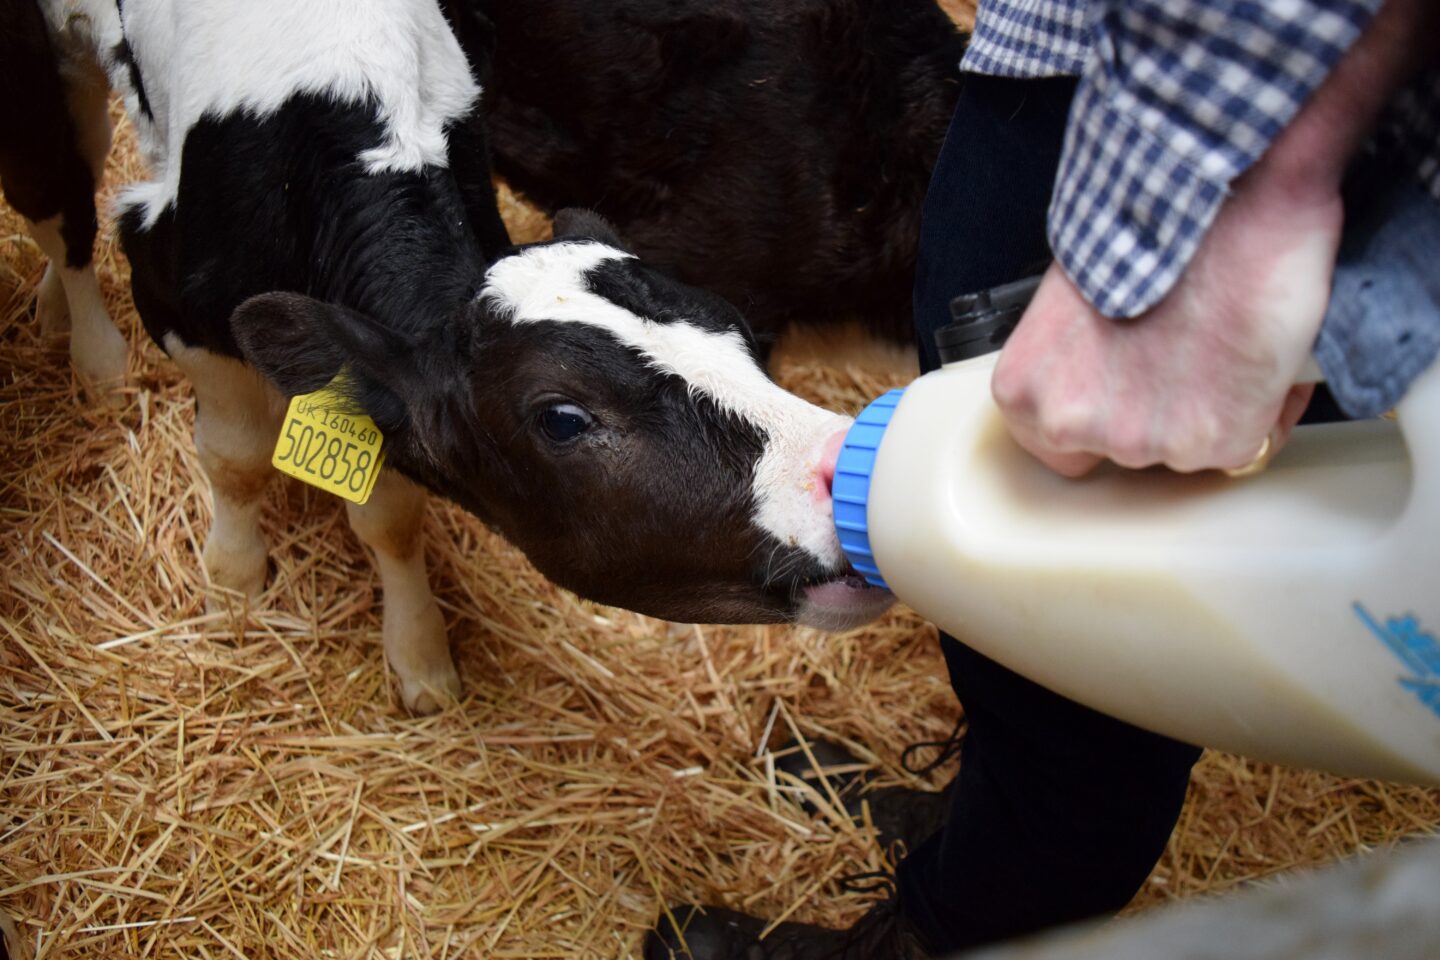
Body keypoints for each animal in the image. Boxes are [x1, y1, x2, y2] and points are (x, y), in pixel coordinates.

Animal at [17, 0, 892, 713]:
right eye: (563, 418)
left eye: (739, 330)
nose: (846, 466)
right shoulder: (176, 298)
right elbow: (235, 461)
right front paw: (232, 582)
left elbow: (390, 517)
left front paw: (419, 655)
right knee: (61, 198)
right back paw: (92, 352)